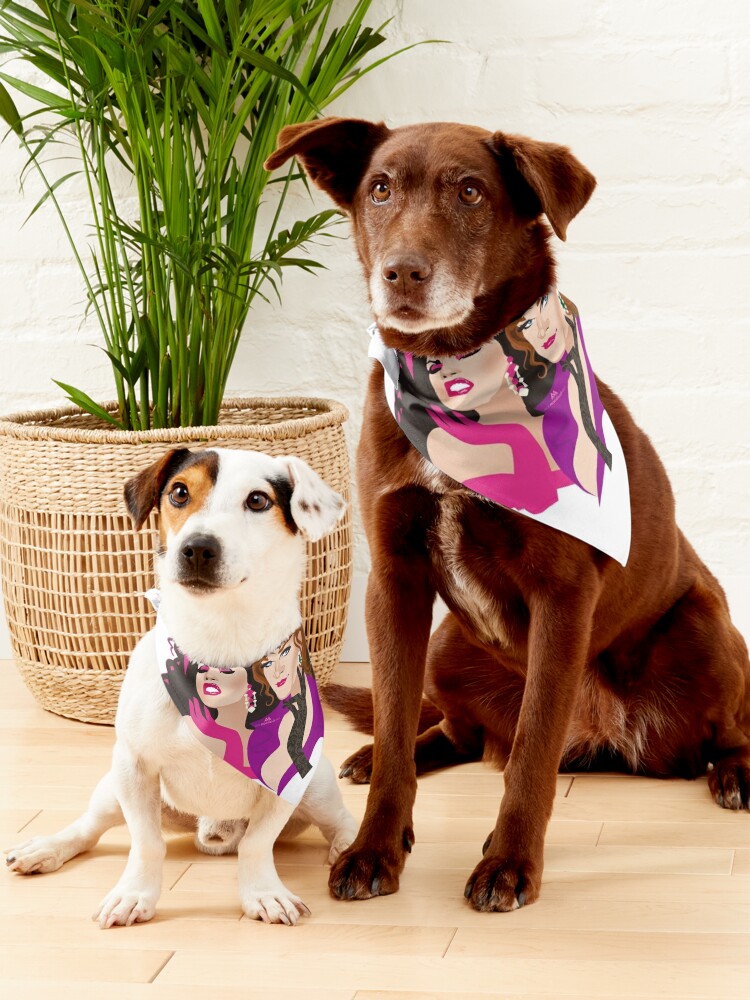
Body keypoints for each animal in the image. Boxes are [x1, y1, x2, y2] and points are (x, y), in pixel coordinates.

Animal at [5, 450, 358, 924]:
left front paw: (262, 893)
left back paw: (349, 849)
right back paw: (46, 848)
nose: (198, 547)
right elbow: (146, 843)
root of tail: (213, 829)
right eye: (179, 492)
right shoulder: (133, 765)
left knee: (340, 820)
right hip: (112, 788)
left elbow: (257, 844)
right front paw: (134, 894)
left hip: (316, 785)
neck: (219, 650)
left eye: (258, 500)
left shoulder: (285, 779)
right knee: (89, 828)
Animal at [268, 121, 748, 912]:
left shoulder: (562, 597)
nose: (402, 273)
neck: (456, 375)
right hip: (448, 647)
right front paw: (374, 847)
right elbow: (397, 721)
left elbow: (530, 753)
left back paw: (735, 773)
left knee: (728, 725)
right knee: (454, 730)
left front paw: (508, 863)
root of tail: (611, 740)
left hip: (703, 632)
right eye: (380, 188)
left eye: (470, 191)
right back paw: (382, 753)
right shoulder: (393, 581)